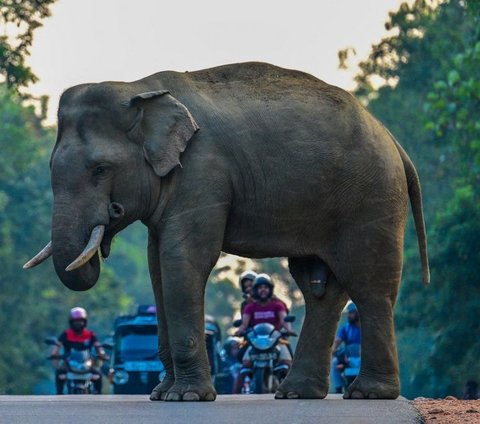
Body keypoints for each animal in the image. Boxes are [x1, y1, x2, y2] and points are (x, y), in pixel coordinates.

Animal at [24, 62, 430, 400]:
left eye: (101, 170)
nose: (104, 237)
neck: (138, 88)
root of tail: (392, 140)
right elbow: (157, 266)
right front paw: (161, 395)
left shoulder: (202, 171)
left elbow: (183, 259)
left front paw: (185, 397)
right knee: (320, 289)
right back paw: (296, 393)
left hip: (371, 198)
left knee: (369, 284)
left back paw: (368, 393)